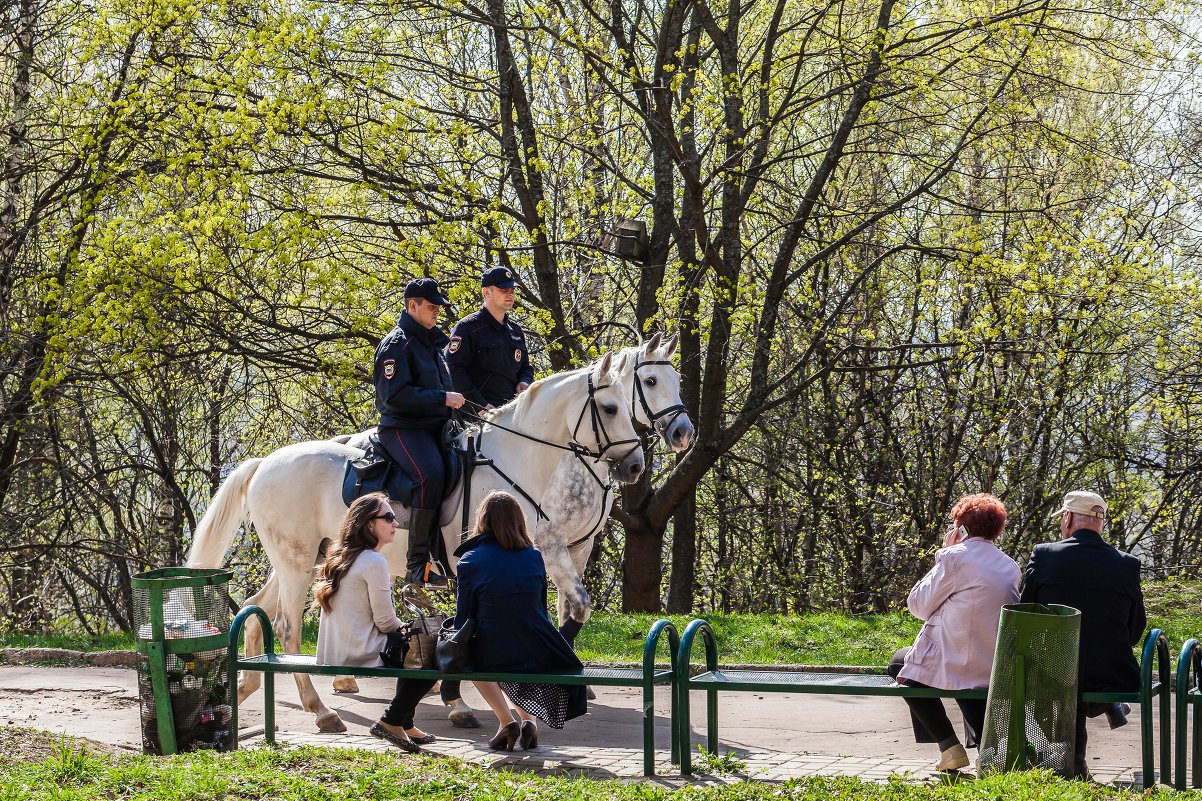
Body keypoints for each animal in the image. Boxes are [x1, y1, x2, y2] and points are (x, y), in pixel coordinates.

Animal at [187, 339, 692, 731]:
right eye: (616, 403)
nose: (636, 465)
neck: (524, 458)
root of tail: (265, 462)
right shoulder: (544, 550)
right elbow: (550, 612)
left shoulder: (569, 549)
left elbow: (560, 611)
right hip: (295, 563)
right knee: (288, 628)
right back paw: (319, 708)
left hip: (304, 558)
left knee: (256, 609)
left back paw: (250, 684)